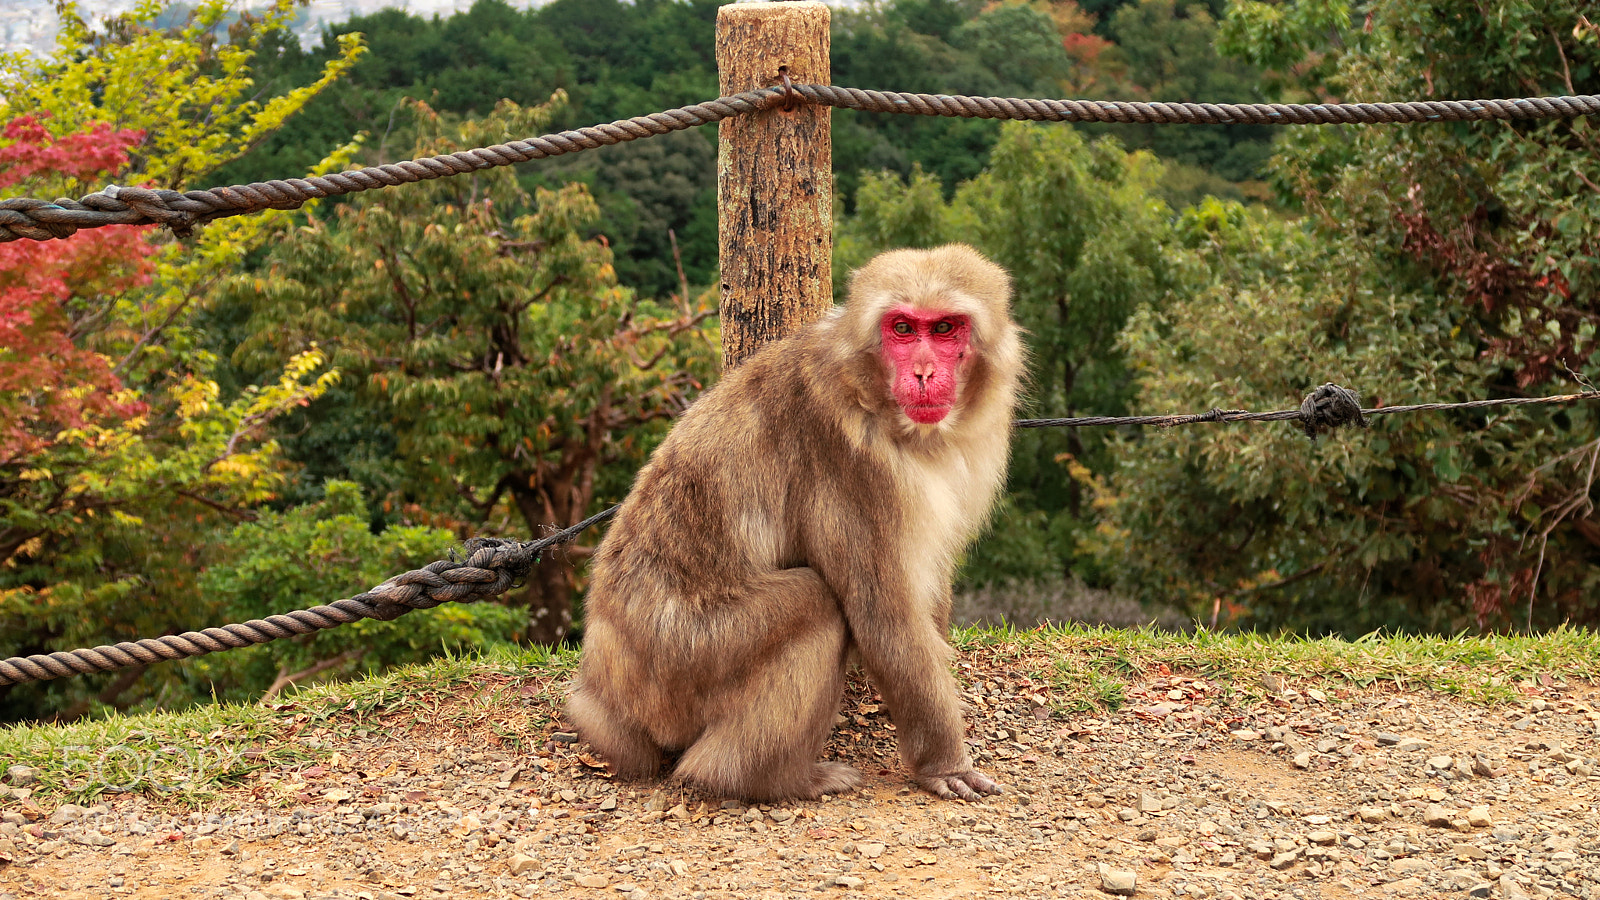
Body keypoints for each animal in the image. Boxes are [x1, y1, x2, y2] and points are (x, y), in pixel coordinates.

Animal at [567, 243, 1024, 802]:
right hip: (682, 655)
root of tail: (602, 679)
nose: (920, 372)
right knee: (815, 602)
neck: (872, 396)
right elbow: (884, 615)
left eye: (943, 329)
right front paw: (943, 761)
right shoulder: (851, 463)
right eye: (901, 328)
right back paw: (760, 777)